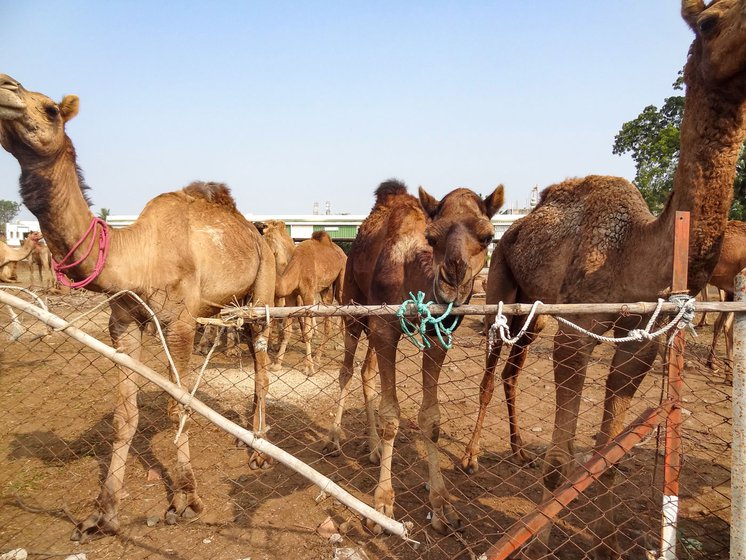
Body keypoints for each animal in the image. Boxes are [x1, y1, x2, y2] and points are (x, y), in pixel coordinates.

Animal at [0, 74, 276, 544]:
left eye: (51, 109)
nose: (6, 85)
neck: (134, 255)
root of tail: (256, 230)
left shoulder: (179, 323)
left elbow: (177, 405)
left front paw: (185, 500)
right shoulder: (124, 323)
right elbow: (125, 416)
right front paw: (102, 514)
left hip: (263, 290)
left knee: (261, 365)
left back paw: (259, 451)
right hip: (232, 306)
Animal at [270, 230, 346, 374]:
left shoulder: (309, 296)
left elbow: (307, 332)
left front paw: (308, 367)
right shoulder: (291, 297)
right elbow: (287, 331)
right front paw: (277, 363)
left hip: (342, 277)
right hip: (325, 289)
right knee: (328, 323)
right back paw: (318, 357)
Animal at [328, 179, 502, 532]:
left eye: (488, 236)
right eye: (432, 237)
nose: (452, 281)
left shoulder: (438, 333)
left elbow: (431, 418)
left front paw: (442, 505)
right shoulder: (384, 328)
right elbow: (391, 415)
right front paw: (382, 505)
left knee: (366, 371)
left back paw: (373, 449)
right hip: (353, 308)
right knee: (347, 370)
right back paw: (335, 438)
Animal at [456, 3, 744, 556]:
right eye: (710, 22)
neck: (635, 251)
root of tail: (513, 227)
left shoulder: (642, 337)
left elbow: (609, 458)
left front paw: (609, 545)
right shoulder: (579, 328)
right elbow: (560, 462)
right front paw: (540, 543)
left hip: (534, 309)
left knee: (511, 370)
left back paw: (518, 450)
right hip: (500, 283)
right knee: (489, 368)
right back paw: (471, 457)